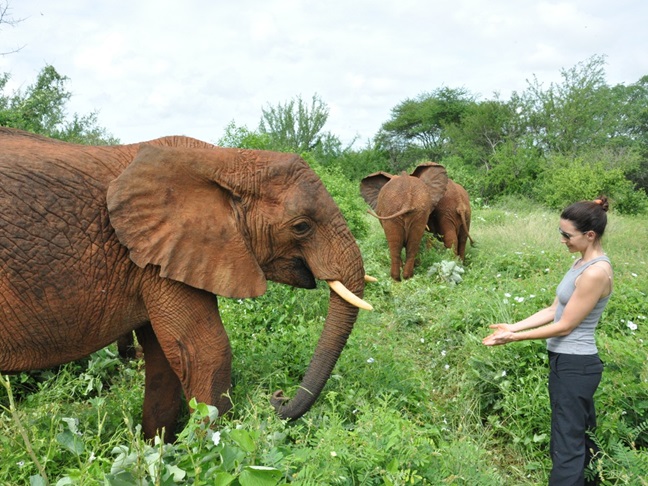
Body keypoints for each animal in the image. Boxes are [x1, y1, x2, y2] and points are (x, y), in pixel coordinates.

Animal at [0, 127, 372, 442]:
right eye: (301, 227)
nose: (277, 396)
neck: (222, 160)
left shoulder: (158, 255)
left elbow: (166, 361)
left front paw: (159, 448)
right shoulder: (158, 255)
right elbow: (207, 352)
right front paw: (206, 450)